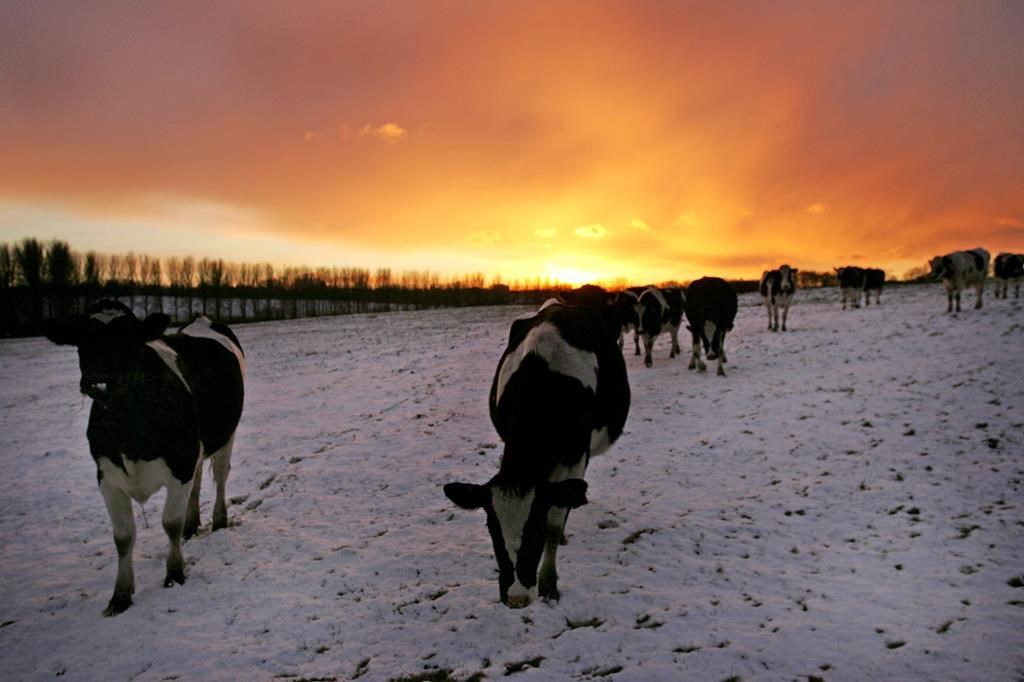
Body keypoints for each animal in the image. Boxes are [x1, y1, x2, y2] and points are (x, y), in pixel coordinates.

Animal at [44, 300, 245, 616]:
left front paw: (174, 574)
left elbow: (170, 523)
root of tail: (202, 319)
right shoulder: (107, 478)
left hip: (226, 434)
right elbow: (123, 537)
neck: (130, 430)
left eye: (130, 341)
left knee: (221, 475)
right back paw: (192, 525)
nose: (98, 382)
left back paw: (219, 520)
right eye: (82, 340)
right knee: (198, 482)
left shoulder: (181, 464)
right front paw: (120, 595)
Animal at [443, 301, 630, 608]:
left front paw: (549, 583)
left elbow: (555, 520)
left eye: (534, 532)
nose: (516, 597)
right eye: (492, 530)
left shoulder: (575, 457)